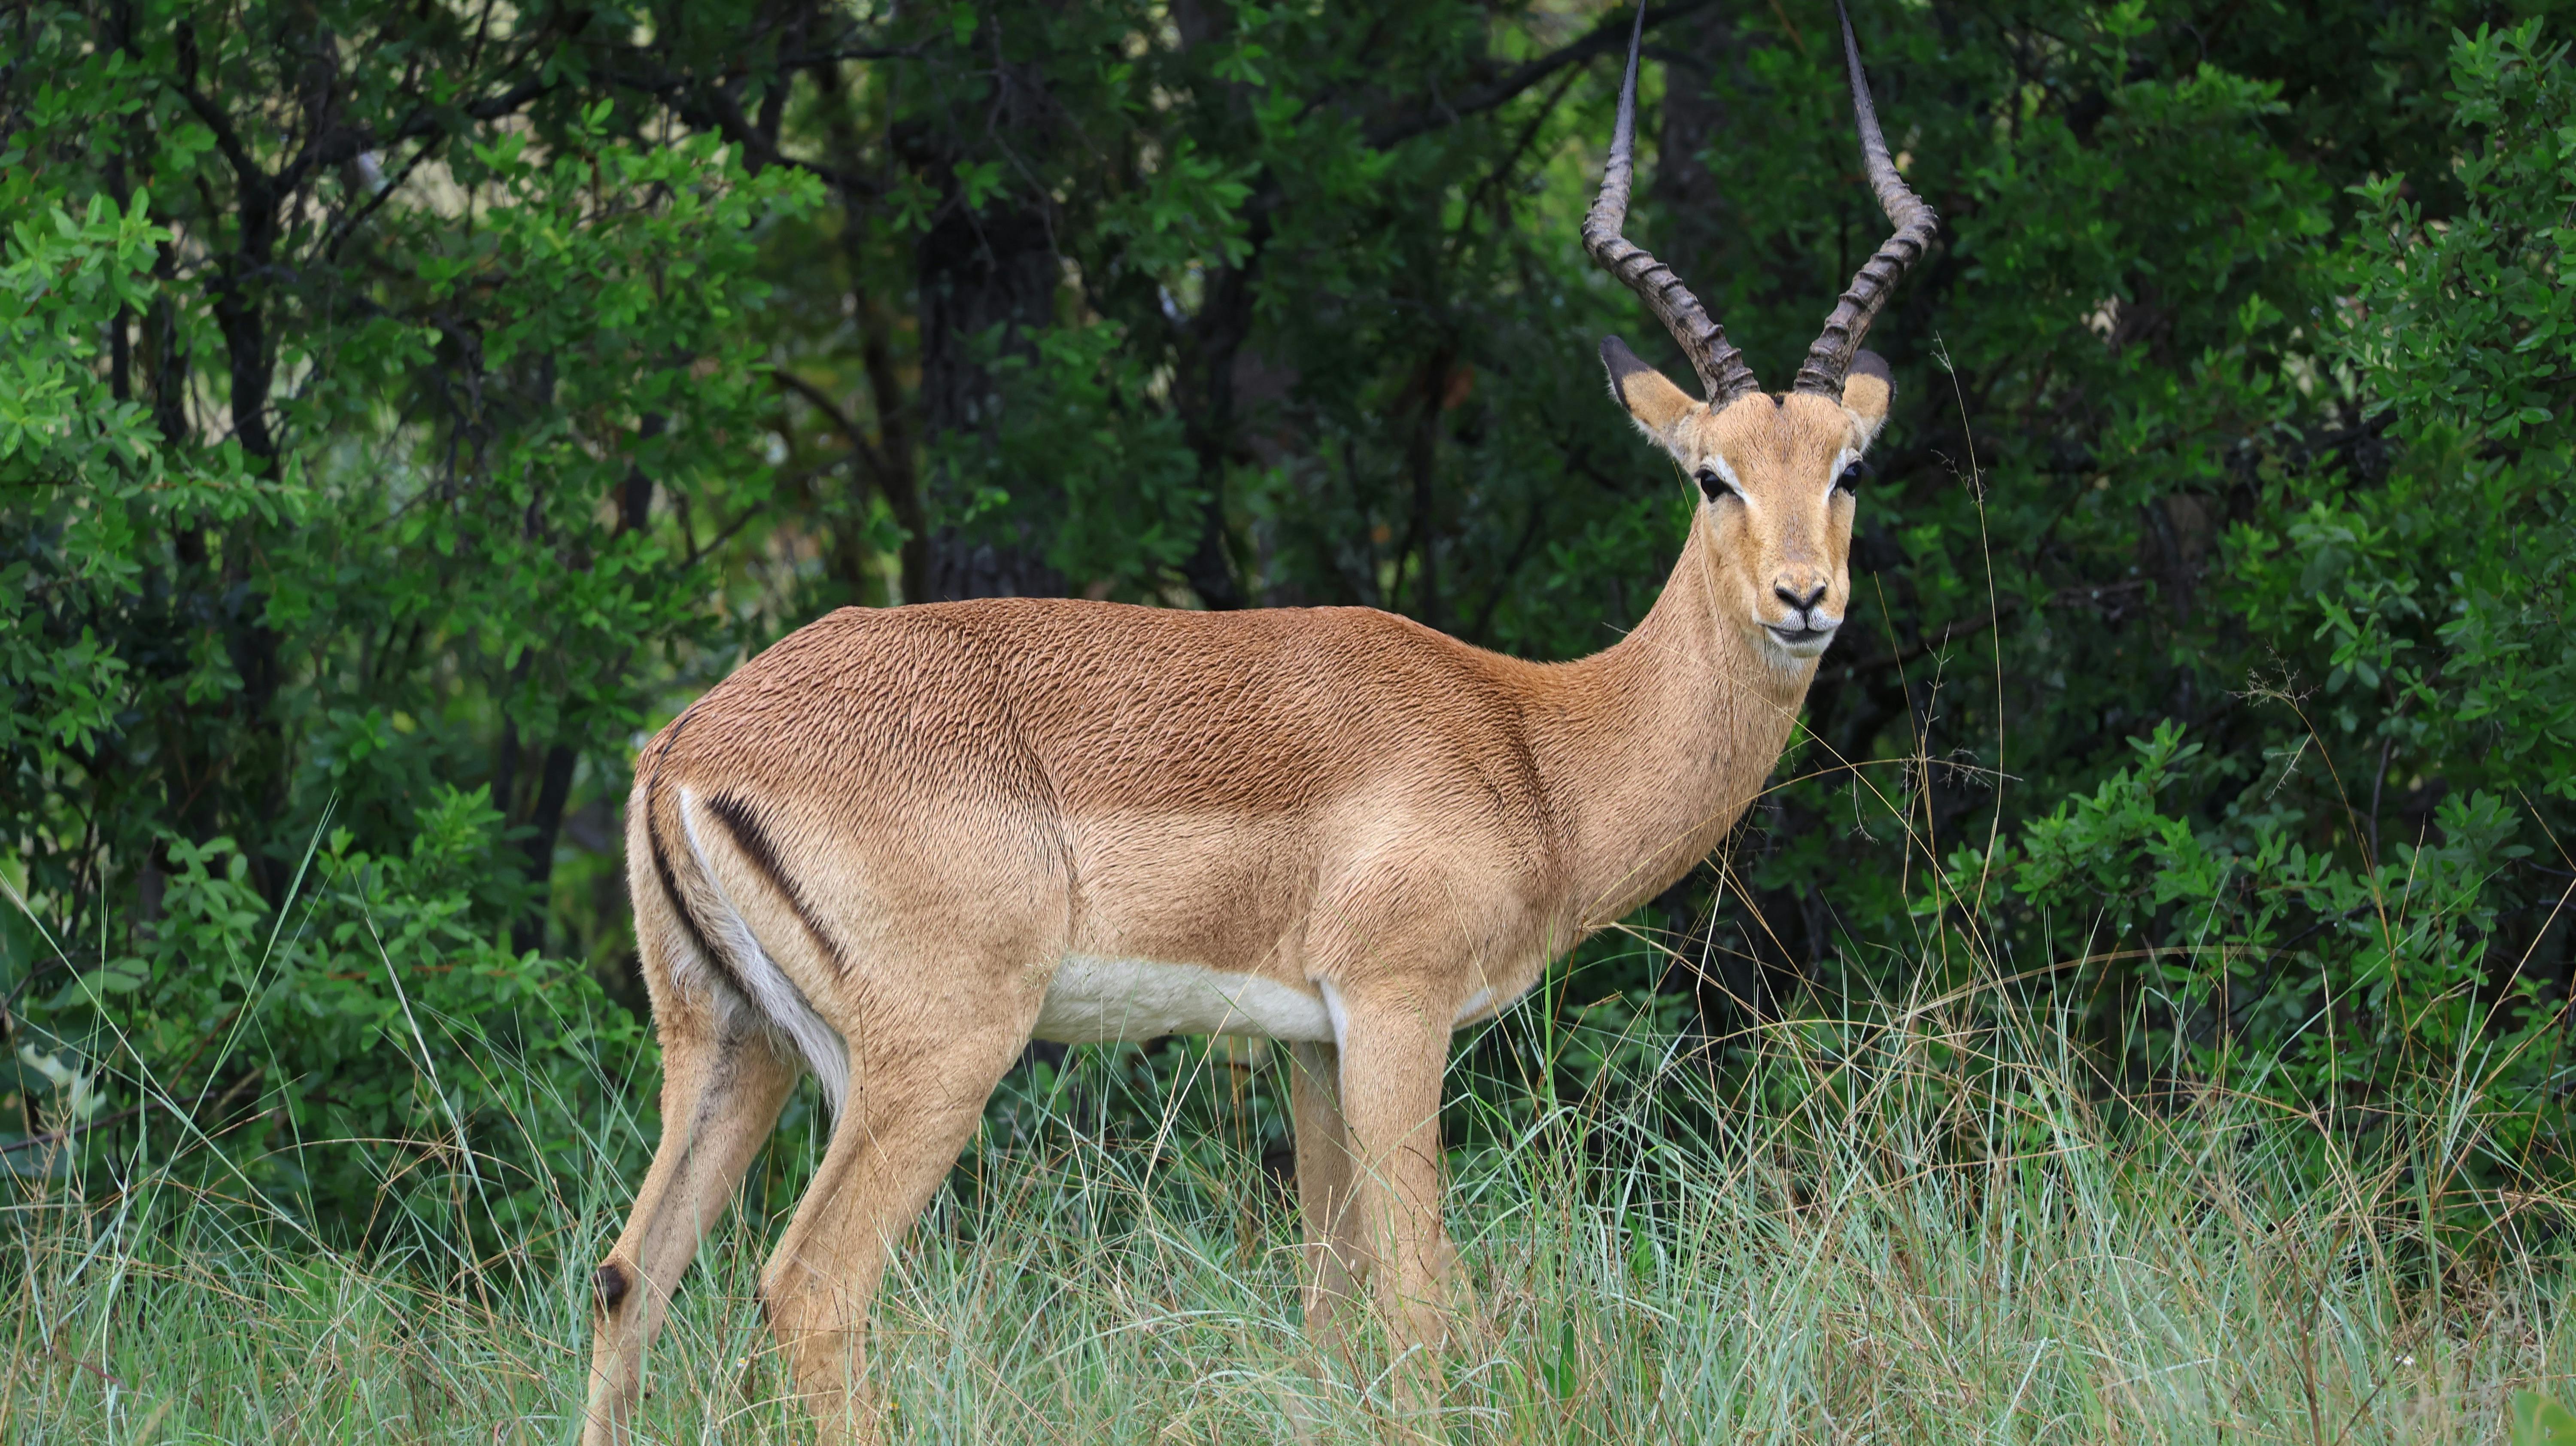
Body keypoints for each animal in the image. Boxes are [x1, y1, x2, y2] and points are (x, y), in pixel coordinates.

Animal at [581, 5, 1934, 1439]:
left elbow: (1333, 1319)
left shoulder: (1309, 1046)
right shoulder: (1394, 1013)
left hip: (732, 1048)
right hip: (935, 1055)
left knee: (629, 1278)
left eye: (1846, 466)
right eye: (1711, 476)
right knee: (808, 1288)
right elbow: (1420, 1310)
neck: (1529, 742)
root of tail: (689, 746)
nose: (1804, 599)